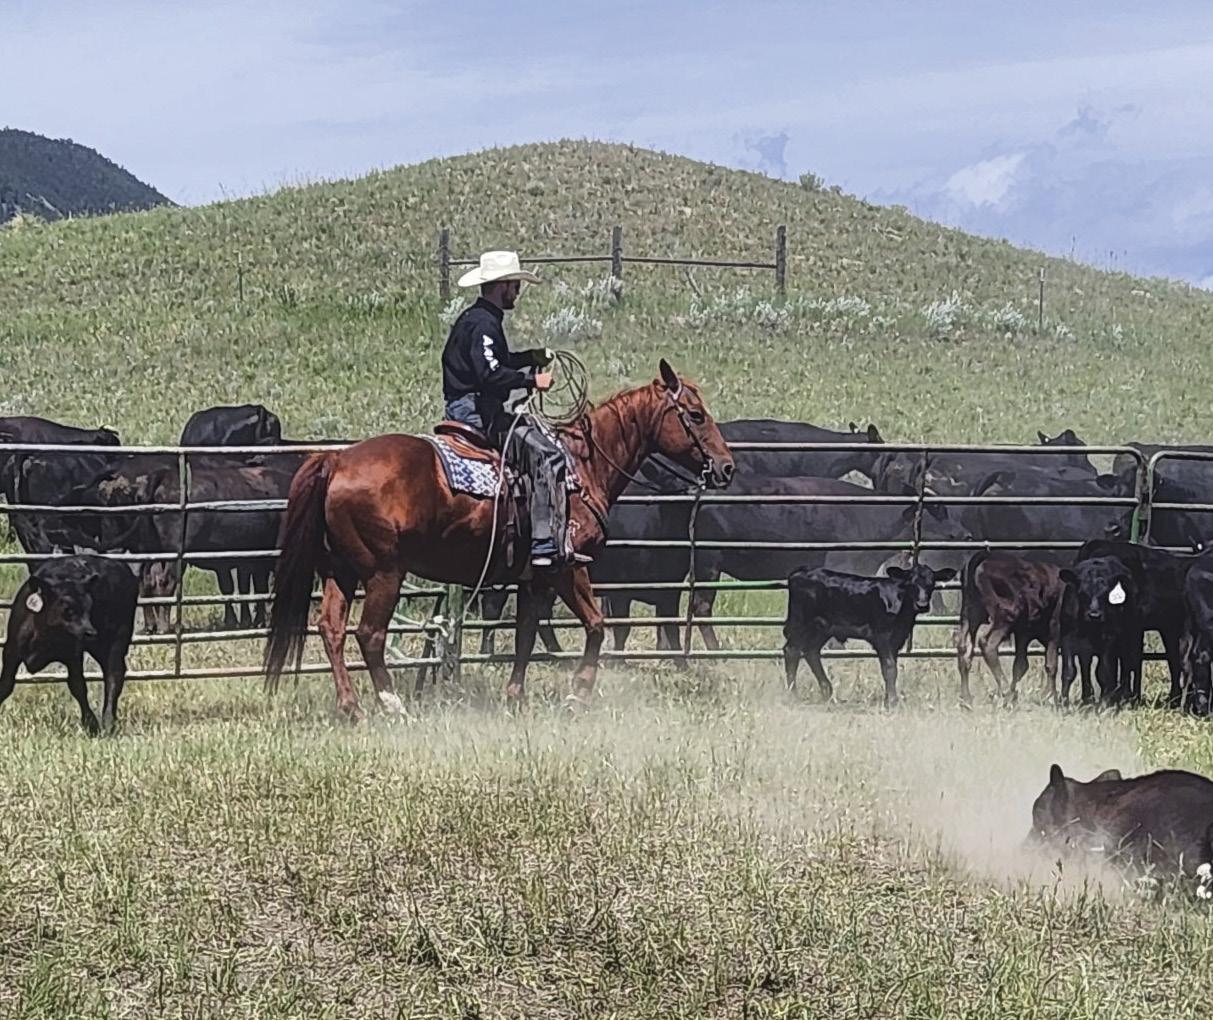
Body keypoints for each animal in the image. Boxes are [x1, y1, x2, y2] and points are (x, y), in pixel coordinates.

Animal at [0, 555, 139, 733]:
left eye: (89, 606)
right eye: (68, 609)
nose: (90, 632)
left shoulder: (73, 653)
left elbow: (77, 685)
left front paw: (91, 724)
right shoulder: (11, 651)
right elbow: (5, 684)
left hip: (116, 638)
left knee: (114, 675)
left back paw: (108, 722)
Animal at [264, 359, 734, 719]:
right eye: (695, 415)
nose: (726, 466)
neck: (580, 468)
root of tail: (337, 459)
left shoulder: (534, 578)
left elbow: (525, 633)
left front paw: (515, 697)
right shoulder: (568, 568)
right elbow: (596, 625)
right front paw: (577, 694)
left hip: (339, 571)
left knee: (331, 628)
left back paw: (351, 706)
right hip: (383, 573)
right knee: (369, 634)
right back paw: (393, 704)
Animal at [783, 563, 956, 707]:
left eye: (931, 583)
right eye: (911, 583)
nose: (922, 605)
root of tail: (800, 572)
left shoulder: (896, 639)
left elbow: (891, 668)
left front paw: (888, 700)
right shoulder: (882, 637)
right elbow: (889, 668)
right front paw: (892, 702)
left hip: (822, 628)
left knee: (811, 651)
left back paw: (828, 693)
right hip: (801, 623)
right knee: (792, 650)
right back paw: (793, 695)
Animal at [955, 551, 1063, 705]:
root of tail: (984, 556)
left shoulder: (1023, 633)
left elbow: (1020, 665)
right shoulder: (1054, 629)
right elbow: (1051, 664)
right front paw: (1050, 697)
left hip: (970, 615)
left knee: (964, 649)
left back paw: (967, 698)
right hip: (1007, 615)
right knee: (987, 643)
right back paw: (1006, 692)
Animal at [1058, 556, 1140, 706]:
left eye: (1107, 593)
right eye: (1081, 593)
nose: (1094, 615)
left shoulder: (1109, 637)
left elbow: (1103, 672)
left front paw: (1104, 704)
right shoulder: (1066, 636)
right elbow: (1069, 670)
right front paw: (1063, 703)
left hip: (1129, 635)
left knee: (1126, 663)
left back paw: (1122, 697)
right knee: (1086, 665)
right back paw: (1088, 699)